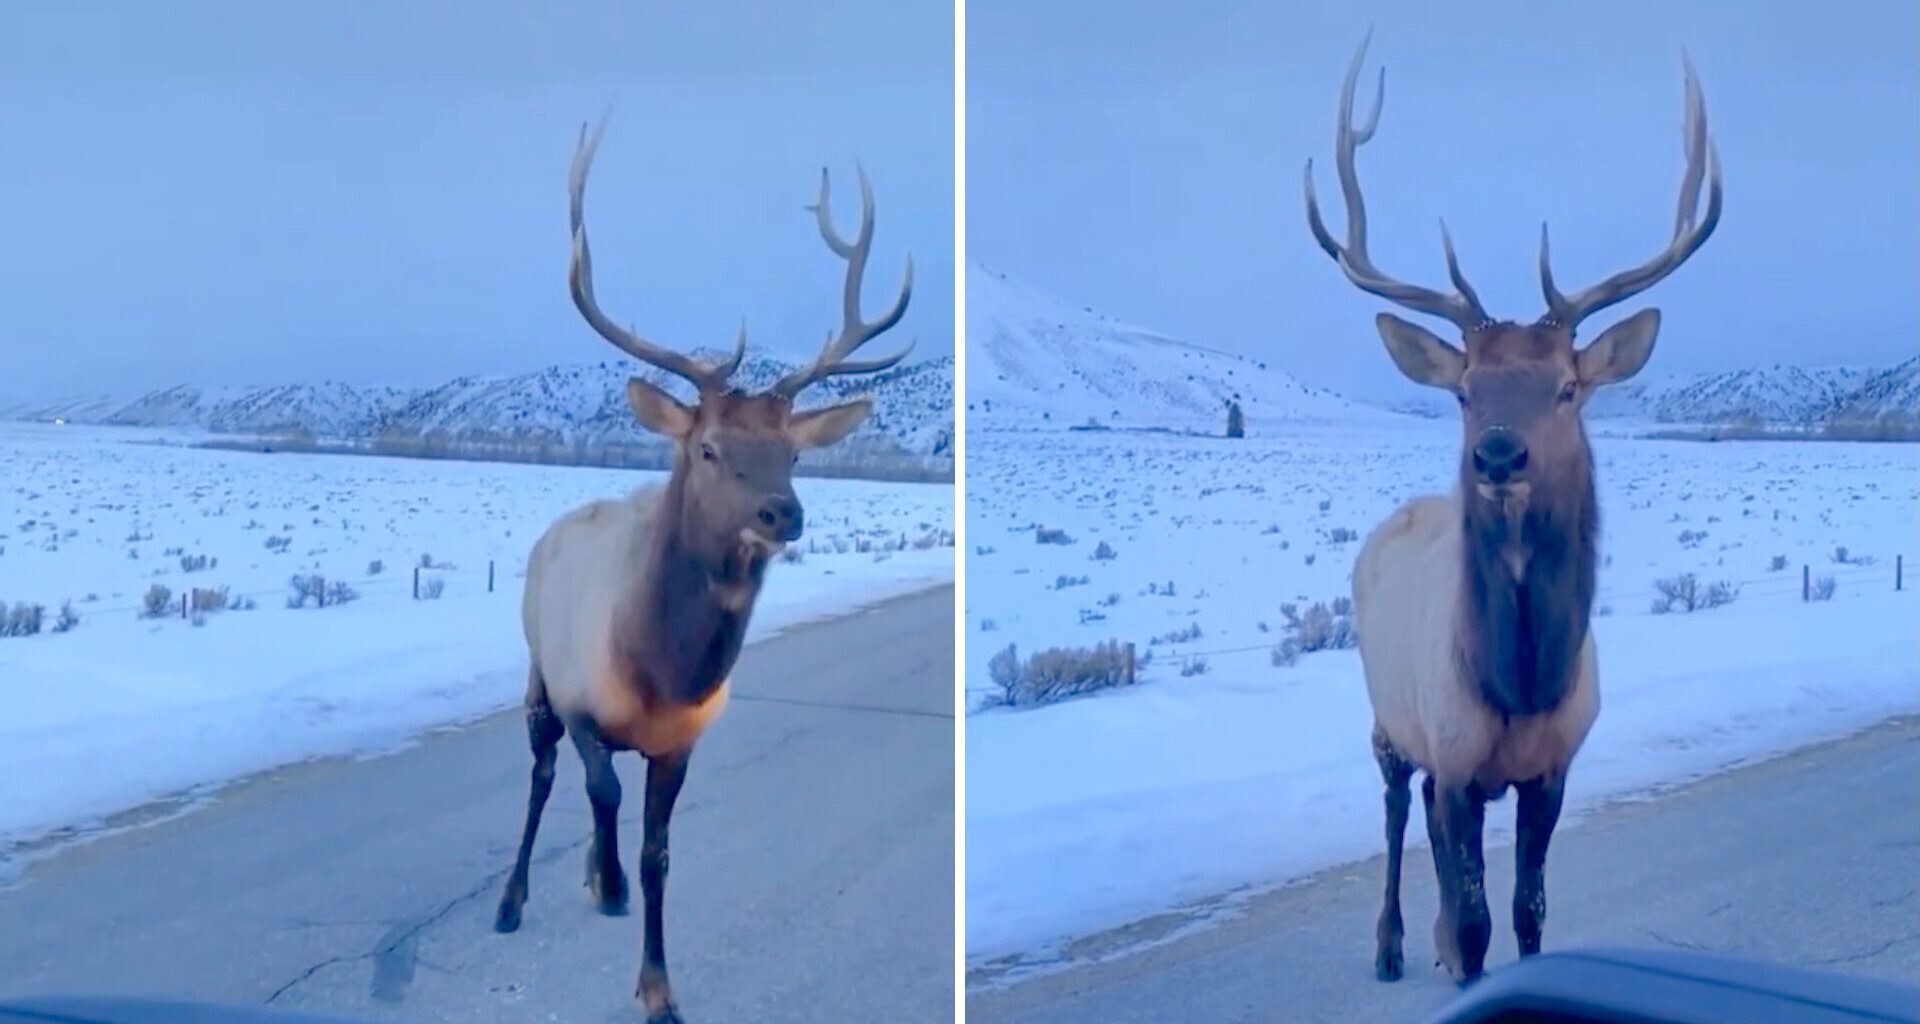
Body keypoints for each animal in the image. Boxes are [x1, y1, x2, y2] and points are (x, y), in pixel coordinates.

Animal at [491, 113, 913, 1024]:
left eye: (794, 452)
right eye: (710, 447)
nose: (783, 514)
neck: (661, 668)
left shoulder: (682, 742)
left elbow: (658, 852)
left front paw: (658, 986)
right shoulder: (579, 701)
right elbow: (600, 793)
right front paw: (608, 887)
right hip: (536, 669)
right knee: (542, 775)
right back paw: (514, 898)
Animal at [1302, 33, 1721, 985]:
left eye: (1567, 387)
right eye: (1465, 391)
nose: (1498, 454)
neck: (1521, 680)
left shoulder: (1553, 767)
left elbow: (1527, 911)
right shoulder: (1457, 757)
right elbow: (1476, 920)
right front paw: (1455, 958)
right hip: (1387, 713)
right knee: (1395, 807)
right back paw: (1390, 946)